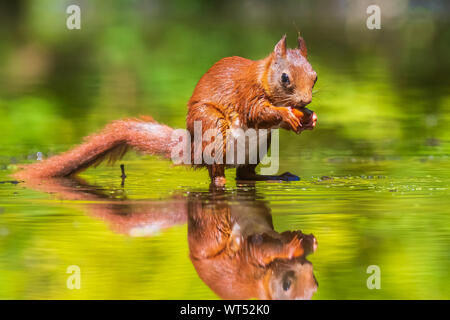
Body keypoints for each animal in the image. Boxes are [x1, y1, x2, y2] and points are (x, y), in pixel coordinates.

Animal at [13, 35, 316, 185]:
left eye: (314, 77)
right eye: (285, 78)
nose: (305, 101)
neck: (262, 76)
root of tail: (192, 149)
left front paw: (311, 118)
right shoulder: (247, 95)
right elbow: (258, 112)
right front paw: (288, 115)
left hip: (258, 147)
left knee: (246, 175)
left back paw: (280, 177)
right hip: (213, 127)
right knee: (218, 172)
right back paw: (221, 183)